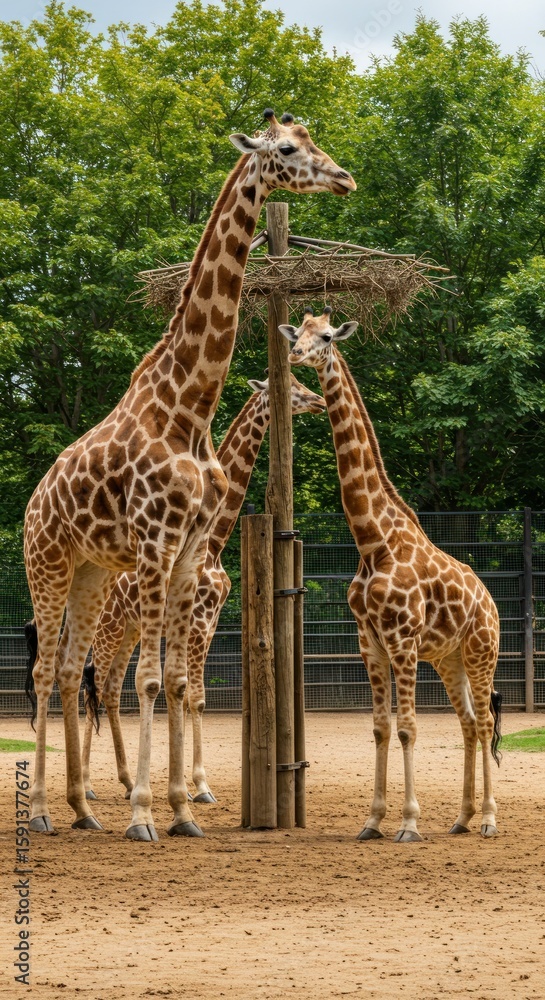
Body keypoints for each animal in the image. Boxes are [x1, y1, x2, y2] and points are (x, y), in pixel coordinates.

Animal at [80, 373, 326, 804]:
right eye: (293, 387)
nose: (319, 401)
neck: (215, 543)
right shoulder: (196, 621)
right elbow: (191, 696)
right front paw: (199, 786)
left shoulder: (208, 624)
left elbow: (192, 697)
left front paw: (186, 785)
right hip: (107, 628)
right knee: (88, 686)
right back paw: (88, 786)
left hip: (130, 629)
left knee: (108, 689)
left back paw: (125, 781)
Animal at [279, 307, 502, 842]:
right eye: (298, 332)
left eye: (327, 336)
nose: (295, 354)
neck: (372, 541)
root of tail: (491, 600)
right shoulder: (370, 641)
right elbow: (381, 727)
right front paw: (373, 820)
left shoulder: (401, 639)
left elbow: (407, 727)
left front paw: (409, 823)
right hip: (448, 658)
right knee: (468, 722)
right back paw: (462, 818)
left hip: (481, 650)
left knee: (485, 722)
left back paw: (488, 819)